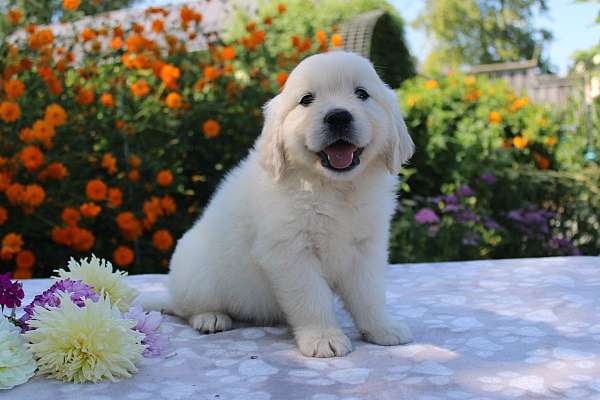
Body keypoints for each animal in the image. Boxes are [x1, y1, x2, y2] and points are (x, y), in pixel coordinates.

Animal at [155, 50, 414, 356]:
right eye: (307, 99)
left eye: (362, 94)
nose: (338, 116)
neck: (333, 188)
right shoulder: (290, 252)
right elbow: (311, 298)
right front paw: (323, 338)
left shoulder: (365, 248)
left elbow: (370, 294)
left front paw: (383, 328)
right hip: (198, 274)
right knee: (186, 309)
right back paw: (210, 317)